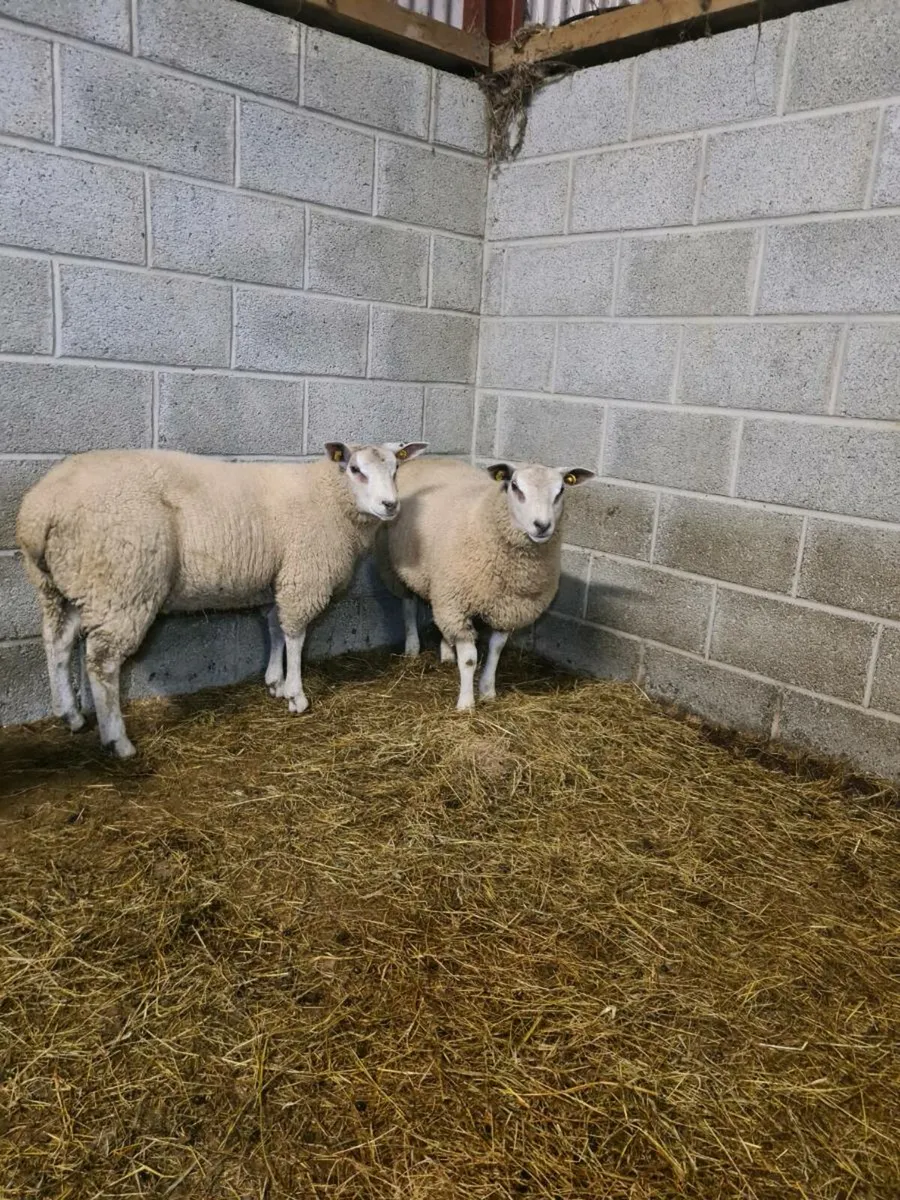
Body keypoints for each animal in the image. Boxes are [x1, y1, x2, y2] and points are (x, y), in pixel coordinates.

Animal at [16, 441, 427, 758]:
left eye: (395, 469)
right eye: (355, 469)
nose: (390, 506)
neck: (329, 497)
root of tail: (40, 511)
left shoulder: (275, 577)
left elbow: (275, 628)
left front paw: (274, 682)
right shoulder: (302, 577)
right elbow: (295, 636)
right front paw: (296, 695)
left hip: (60, 584)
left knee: (58, 643)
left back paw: (70, 715)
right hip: (121, 585)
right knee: (102, 663)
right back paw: (118, 741)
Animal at [375, 457, 595, 711]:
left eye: (561, 490)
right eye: (515, 487)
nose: (542, 525)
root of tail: (425, 458)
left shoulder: (507, 608)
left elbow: (496, 651)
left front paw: (488, 691)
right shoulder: (458, 603)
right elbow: (470, 659)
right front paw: (466, 703)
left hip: (438, 583)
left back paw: (447, 653)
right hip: (395, 567)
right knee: (408, 606)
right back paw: (412, 647)